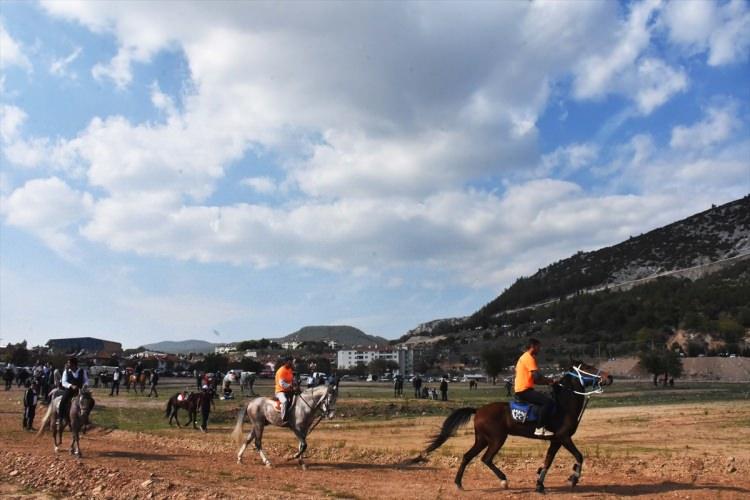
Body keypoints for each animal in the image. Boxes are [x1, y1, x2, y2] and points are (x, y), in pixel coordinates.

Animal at [418, 362, 616, 490]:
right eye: (588, 368)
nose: (610, 376)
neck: (563, 404)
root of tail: (478, 409)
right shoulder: (564, 437)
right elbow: (579, 456)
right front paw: (573, 478)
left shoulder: (556, 440)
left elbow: (548, 461)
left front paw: (540, 483)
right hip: (497, 439)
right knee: (486, 459)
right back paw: (503, 480)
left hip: (482, 439)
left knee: (467, 456)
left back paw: (459, 483)